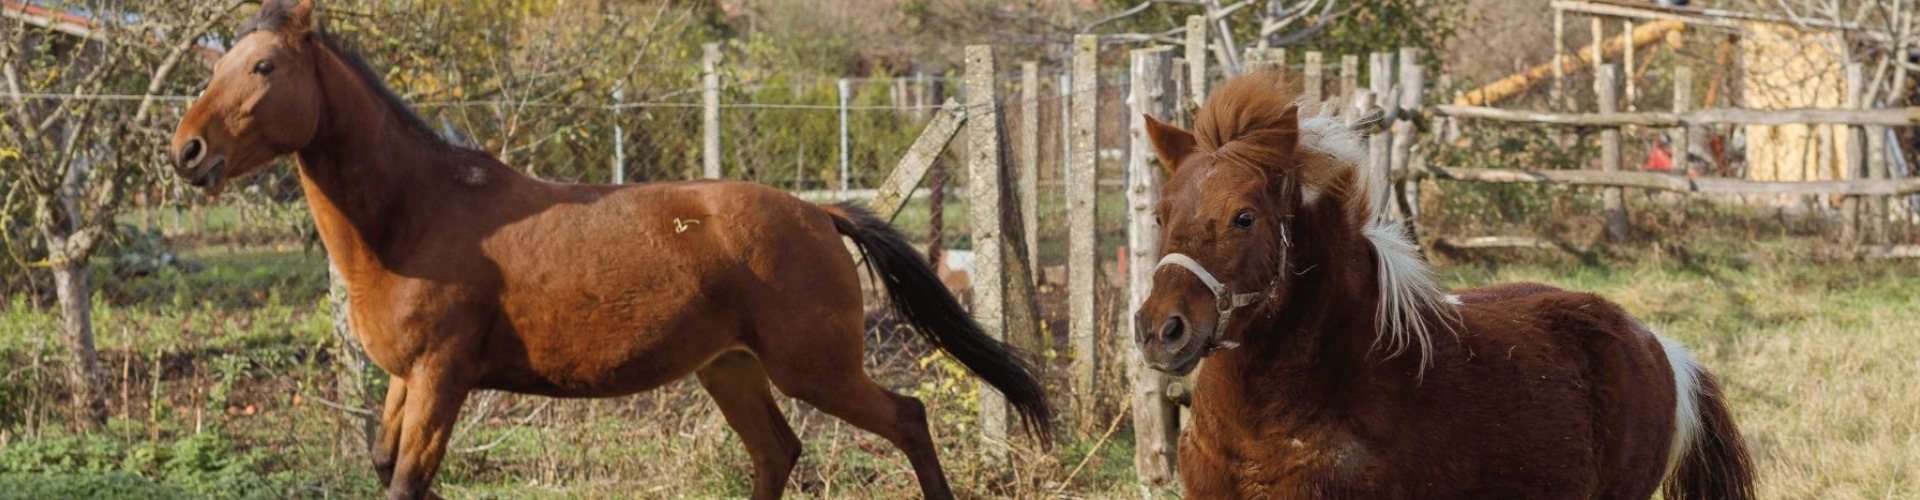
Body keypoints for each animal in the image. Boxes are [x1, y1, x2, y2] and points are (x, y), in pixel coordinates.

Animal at [165, 1, 1052, 496]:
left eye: (264, 65)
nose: (186, 152)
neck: (416, 216)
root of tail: (818, 213)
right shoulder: (404, 379)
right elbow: (390, 469)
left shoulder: (441, 374)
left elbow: (410, 480)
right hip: (730, 368)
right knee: (778, 451)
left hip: (816, 368)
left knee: (906, 418)